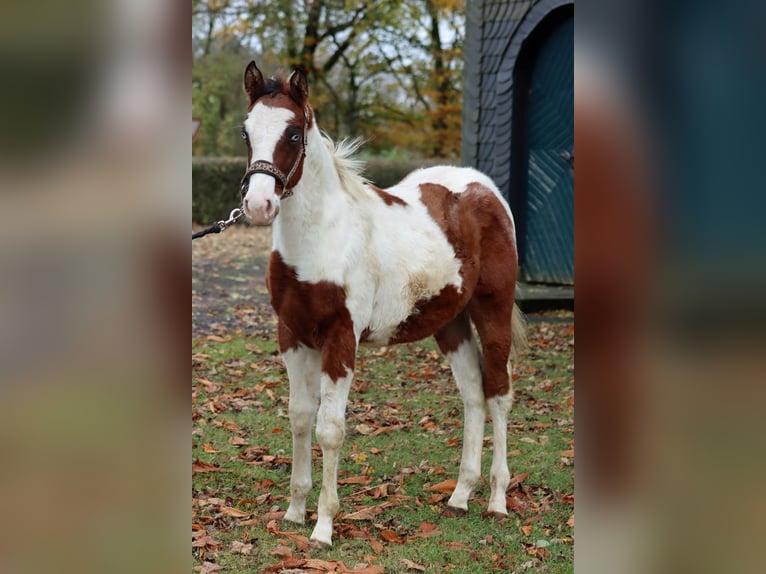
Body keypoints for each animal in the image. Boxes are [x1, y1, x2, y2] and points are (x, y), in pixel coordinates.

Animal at [240, 63, 528, 548]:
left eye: (294, 133)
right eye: (246, 132)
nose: (259, 205)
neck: (323, 237)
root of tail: (485, 188)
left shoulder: (341, 338)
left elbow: (330, 429)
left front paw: (323, 527)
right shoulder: (293, 336)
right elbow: (299, 418)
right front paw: (294, 512)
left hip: (492, 310)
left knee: (499, 393)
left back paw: (497, 499)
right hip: (449, 323)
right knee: (472, 394)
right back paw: (460, 496)